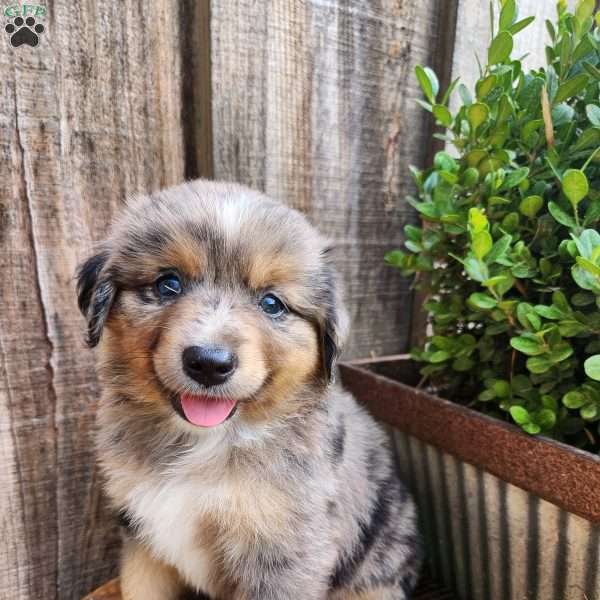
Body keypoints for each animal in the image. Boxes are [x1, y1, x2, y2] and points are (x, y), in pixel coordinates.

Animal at [76, 180, 422, 600]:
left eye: (271, 303)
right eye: (168, 284)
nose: (209, 363)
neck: (205, 442)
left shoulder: (282, 554)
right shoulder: (143, 540)